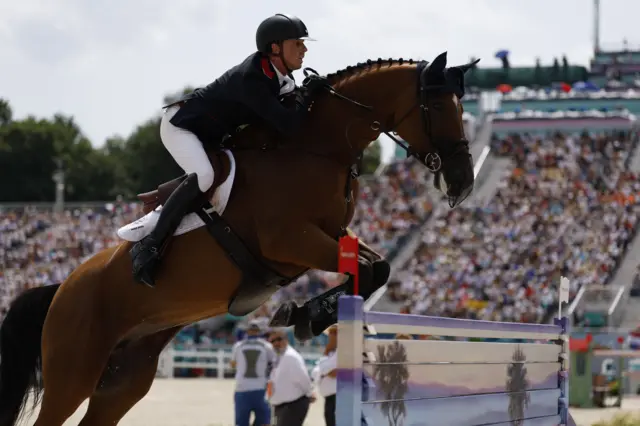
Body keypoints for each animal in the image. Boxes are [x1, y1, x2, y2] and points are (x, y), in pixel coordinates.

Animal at [0, 51, 476, 424]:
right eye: (439, 106)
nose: (463, 183)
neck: (316, 149)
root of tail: (61, 287)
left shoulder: (333, 236)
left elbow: (378, 267)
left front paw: (303, 314)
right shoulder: (292, 240)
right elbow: (367, 269)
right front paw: (302, 314)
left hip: (124, 379)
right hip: (74, 372)